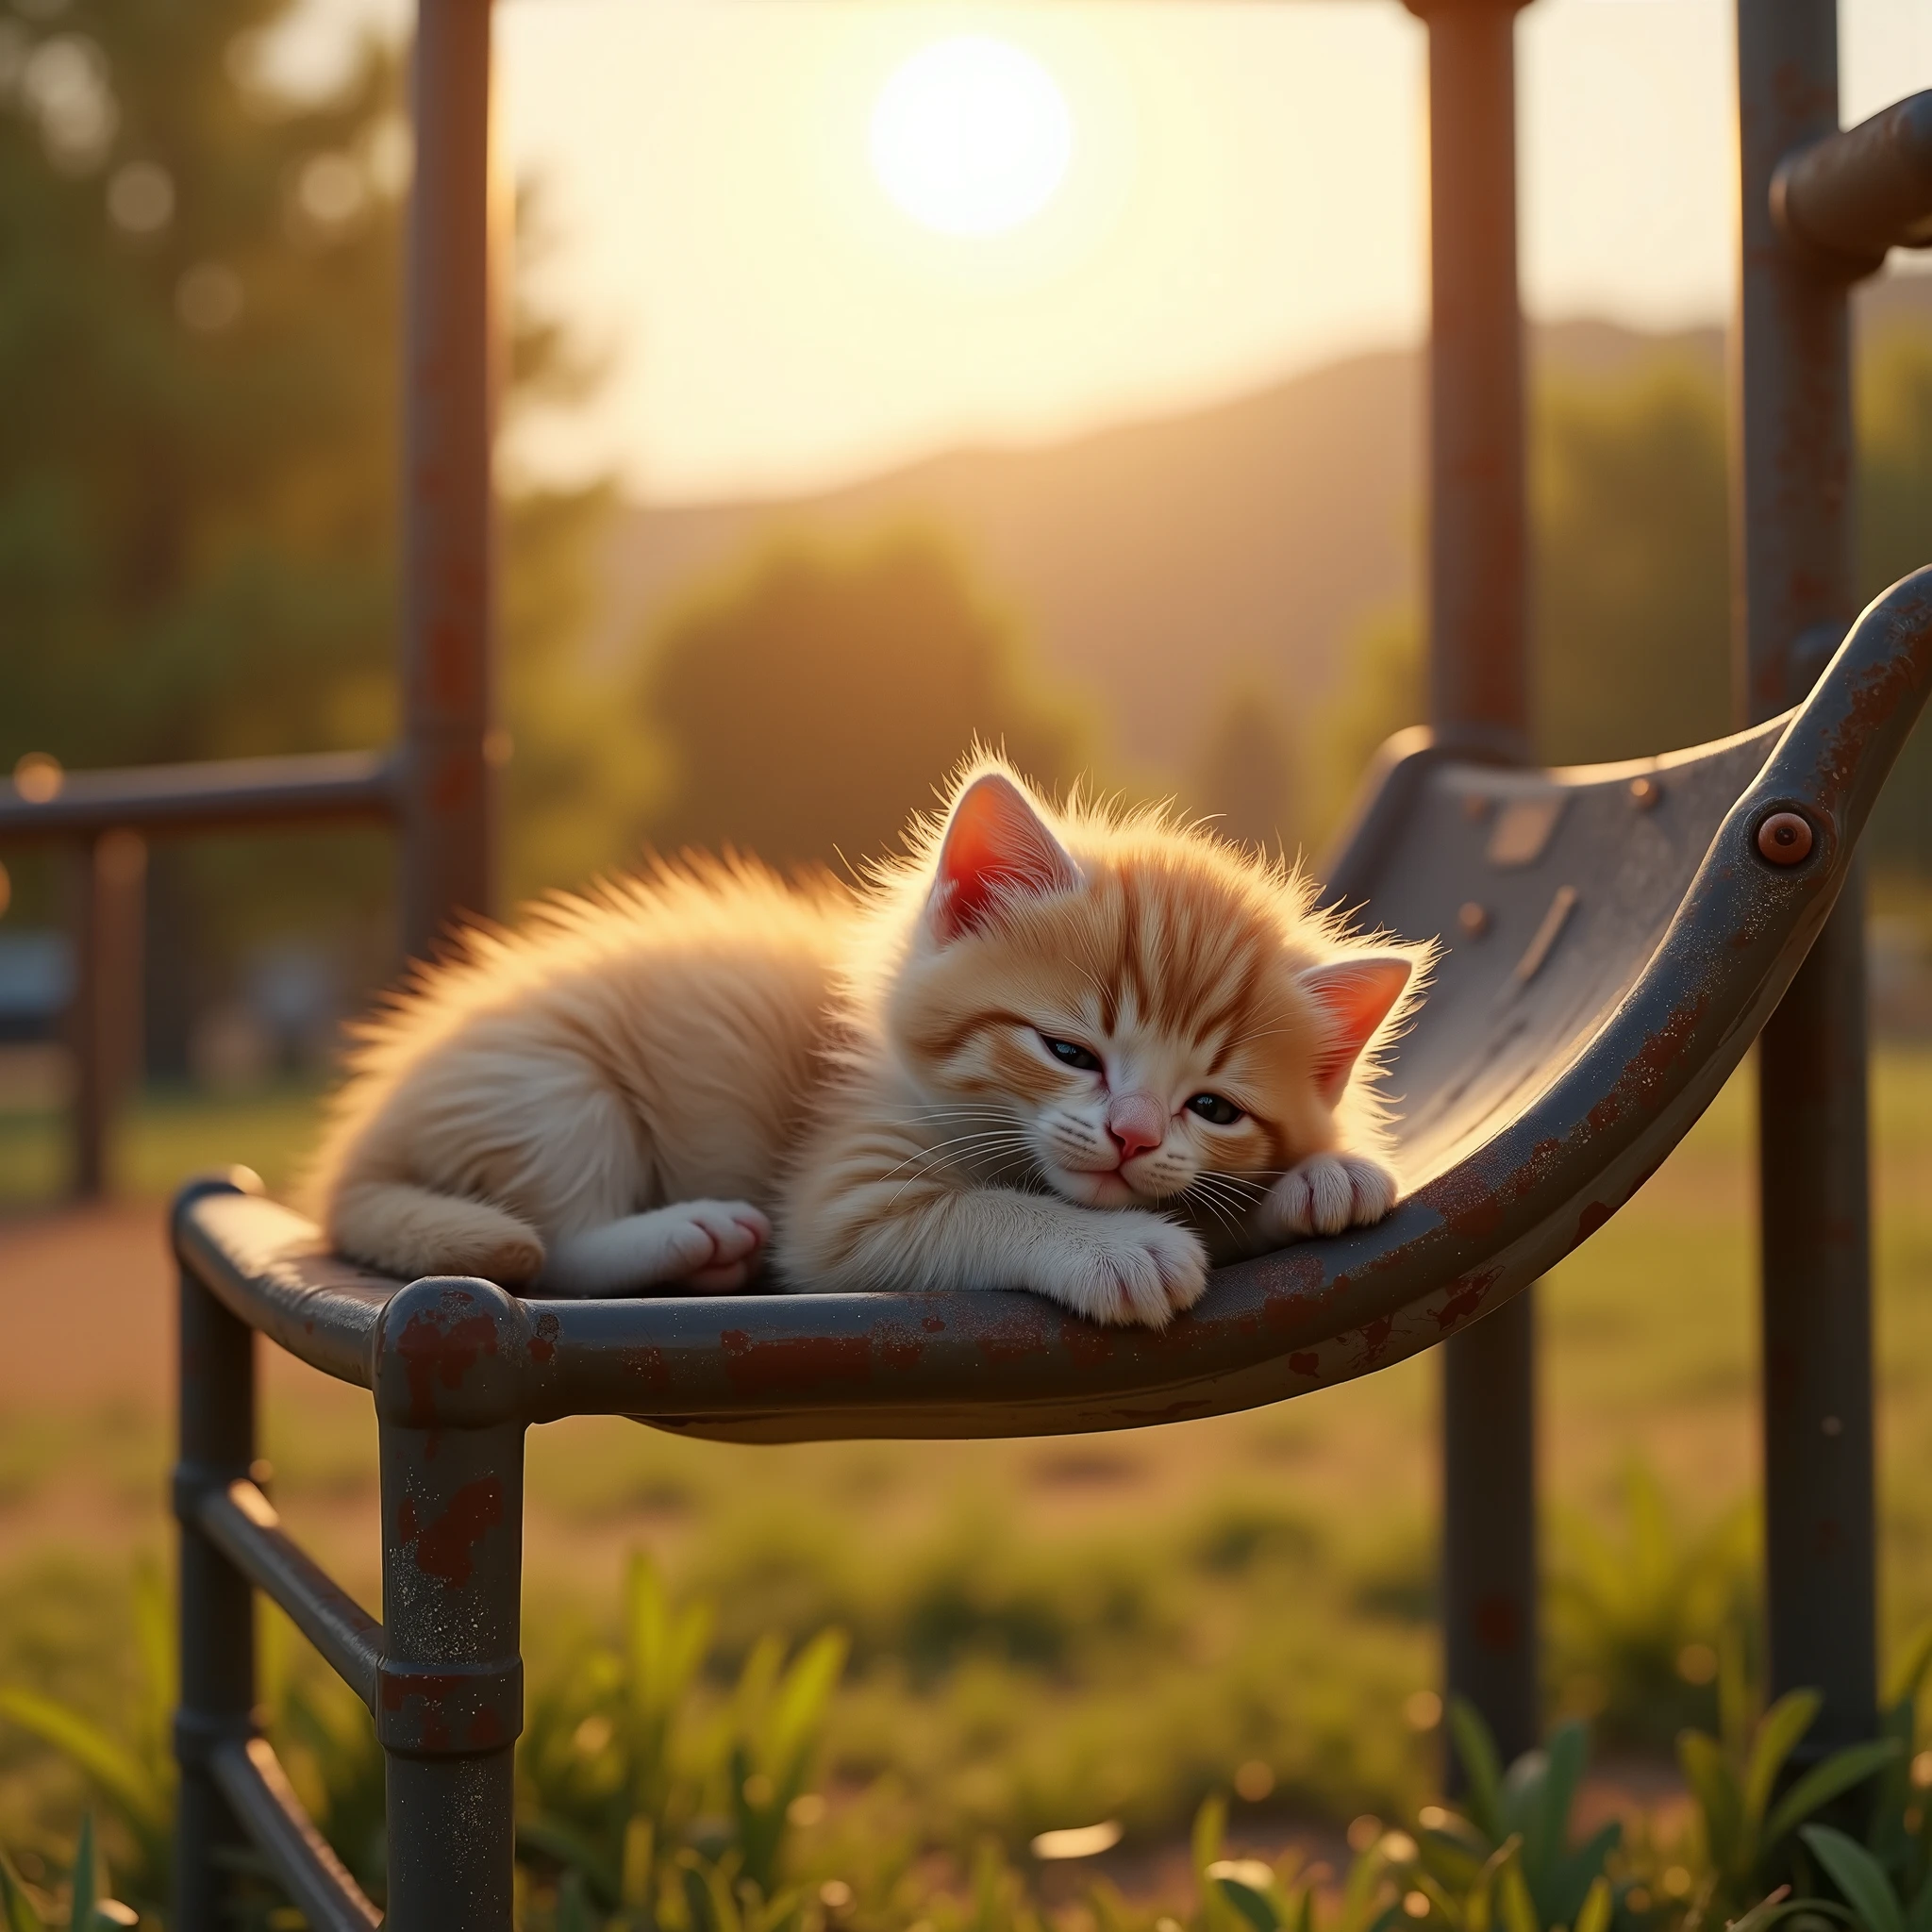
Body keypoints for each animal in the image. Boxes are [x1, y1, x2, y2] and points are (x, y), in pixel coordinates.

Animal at [308, 753, 1437, 1329]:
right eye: (1069, 1050)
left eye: (1211, 1106)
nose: (1130, 1134)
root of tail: (352, 1148)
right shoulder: (842, 1195)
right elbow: (979, 1212)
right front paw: (1114, 1248)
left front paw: (1319, 1180)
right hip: (546, 1088)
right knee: (551, 1245)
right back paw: (691, 1237)